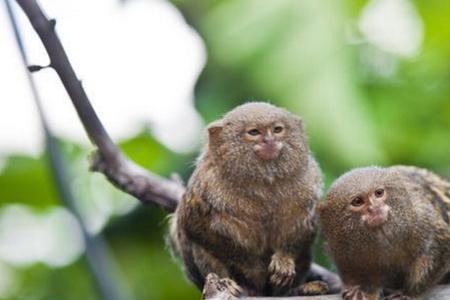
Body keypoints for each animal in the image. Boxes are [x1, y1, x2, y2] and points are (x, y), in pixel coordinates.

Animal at [169, 102, 326, 296]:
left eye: (277, 130)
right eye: (254, 132)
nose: (269, 140)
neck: (264, 182)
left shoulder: (309, 182)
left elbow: (303, 229)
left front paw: (284, 260)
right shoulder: (204, 186)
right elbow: (194, 225)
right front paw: (250, 267)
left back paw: (298, 290)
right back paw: (227, 282)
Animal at [318, 166, 450, 300]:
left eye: (379, 193)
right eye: (358, 201)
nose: (374, 207)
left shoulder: (423, 218)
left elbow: (438, 251)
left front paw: (409, 293)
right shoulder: (339, 248)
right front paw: (362, 289)